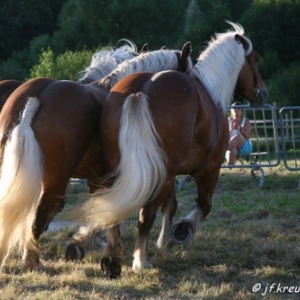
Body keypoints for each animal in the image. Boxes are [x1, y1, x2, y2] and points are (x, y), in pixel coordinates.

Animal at [74, 22, 268, 278]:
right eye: (255, 59)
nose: (262, 93)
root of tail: (139, 91)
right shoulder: (209, 169)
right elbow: (202, 206)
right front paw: (181, 231)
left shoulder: (170, 173)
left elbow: (170, 205)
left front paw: (164, 240)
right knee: (145, 214)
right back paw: (140, 261)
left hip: (121, 169)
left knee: (113, 209)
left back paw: (111, 258)